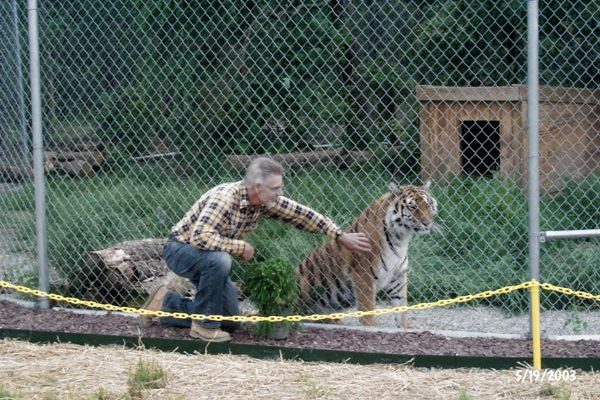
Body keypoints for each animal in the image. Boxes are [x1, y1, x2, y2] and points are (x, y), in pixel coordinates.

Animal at [296, 182, 436, 328]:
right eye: (412, 206)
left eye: (428, 205)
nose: (427, 223)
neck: (400, 238)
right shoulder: (364, 273)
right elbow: (367, 304)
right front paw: (370, 325)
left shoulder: (398, 274)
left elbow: (401, 303)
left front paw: (405, 326)